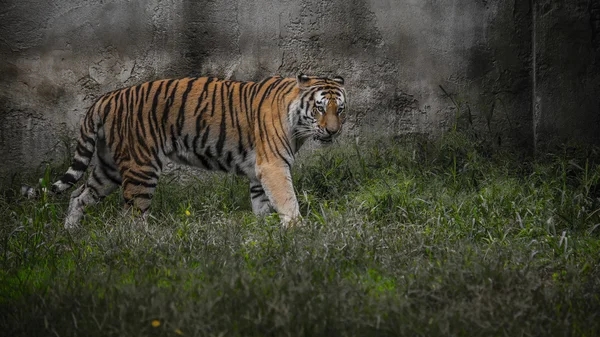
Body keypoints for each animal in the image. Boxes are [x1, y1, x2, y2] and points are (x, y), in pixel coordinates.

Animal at [24, 73, 346, 228]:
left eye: (339, 109)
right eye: (320, 108)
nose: (333, 131)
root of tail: (106, 97)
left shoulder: (258, 170)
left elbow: (263, 204)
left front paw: (265, 233)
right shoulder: (273, 165)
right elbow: (287, 199)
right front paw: (297, 229)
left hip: (108, 168)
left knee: (78, 196)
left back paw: (70, 233)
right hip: (141, 168)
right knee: (131, 216)